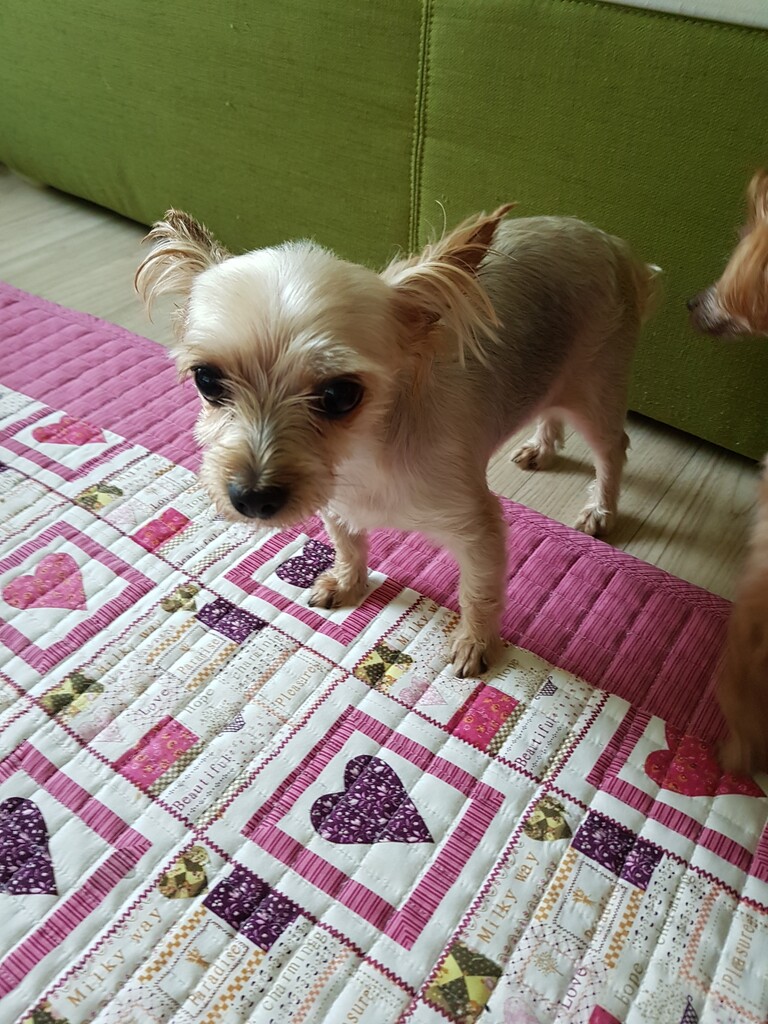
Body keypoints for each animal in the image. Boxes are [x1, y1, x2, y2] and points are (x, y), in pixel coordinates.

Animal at [136, 205, 658, 678]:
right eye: (207, 381)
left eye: (340, 395)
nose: (252, 498)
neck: (366, 455)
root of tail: (610, 241)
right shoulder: (334, 498)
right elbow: (348, 545)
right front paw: (347, 585)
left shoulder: (481, 528)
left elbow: (480, 591)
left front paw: (475, 644)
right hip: (557, 376)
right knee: (550, 409)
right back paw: (541, 447)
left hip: (595, 387)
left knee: (612, 447)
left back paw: (601, 509)